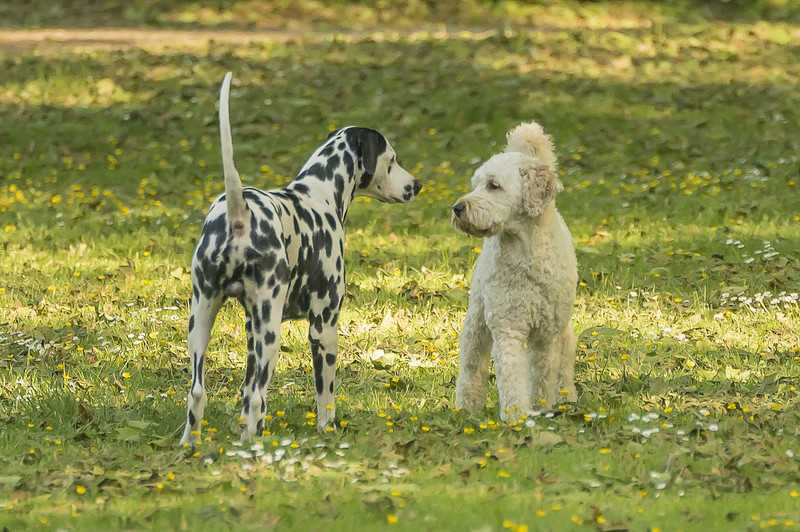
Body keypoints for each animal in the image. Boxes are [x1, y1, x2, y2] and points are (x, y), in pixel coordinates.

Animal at [179, 71, 422, 444]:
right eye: (392, 160)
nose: (417, 185)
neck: (319, 192)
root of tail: (239, 213)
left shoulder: (249, 327)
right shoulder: (323, 326)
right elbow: (325, 395)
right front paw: (328, 430)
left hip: (204, 320)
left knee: (200, 392)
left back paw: (193, 443)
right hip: (269, 333)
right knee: (255, 394)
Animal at [450, 121, 576, 424]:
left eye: (493, 185)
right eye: (475, 184)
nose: (457, 208)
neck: (525, 253)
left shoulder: (547, 334)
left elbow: (543, 376)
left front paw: (542, 407)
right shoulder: (508, 326)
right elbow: (511, 375)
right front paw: (517, 414)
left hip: (563, 329)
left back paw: (567, 398)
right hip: (477, 320)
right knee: (472, 365)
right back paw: (466, 406)